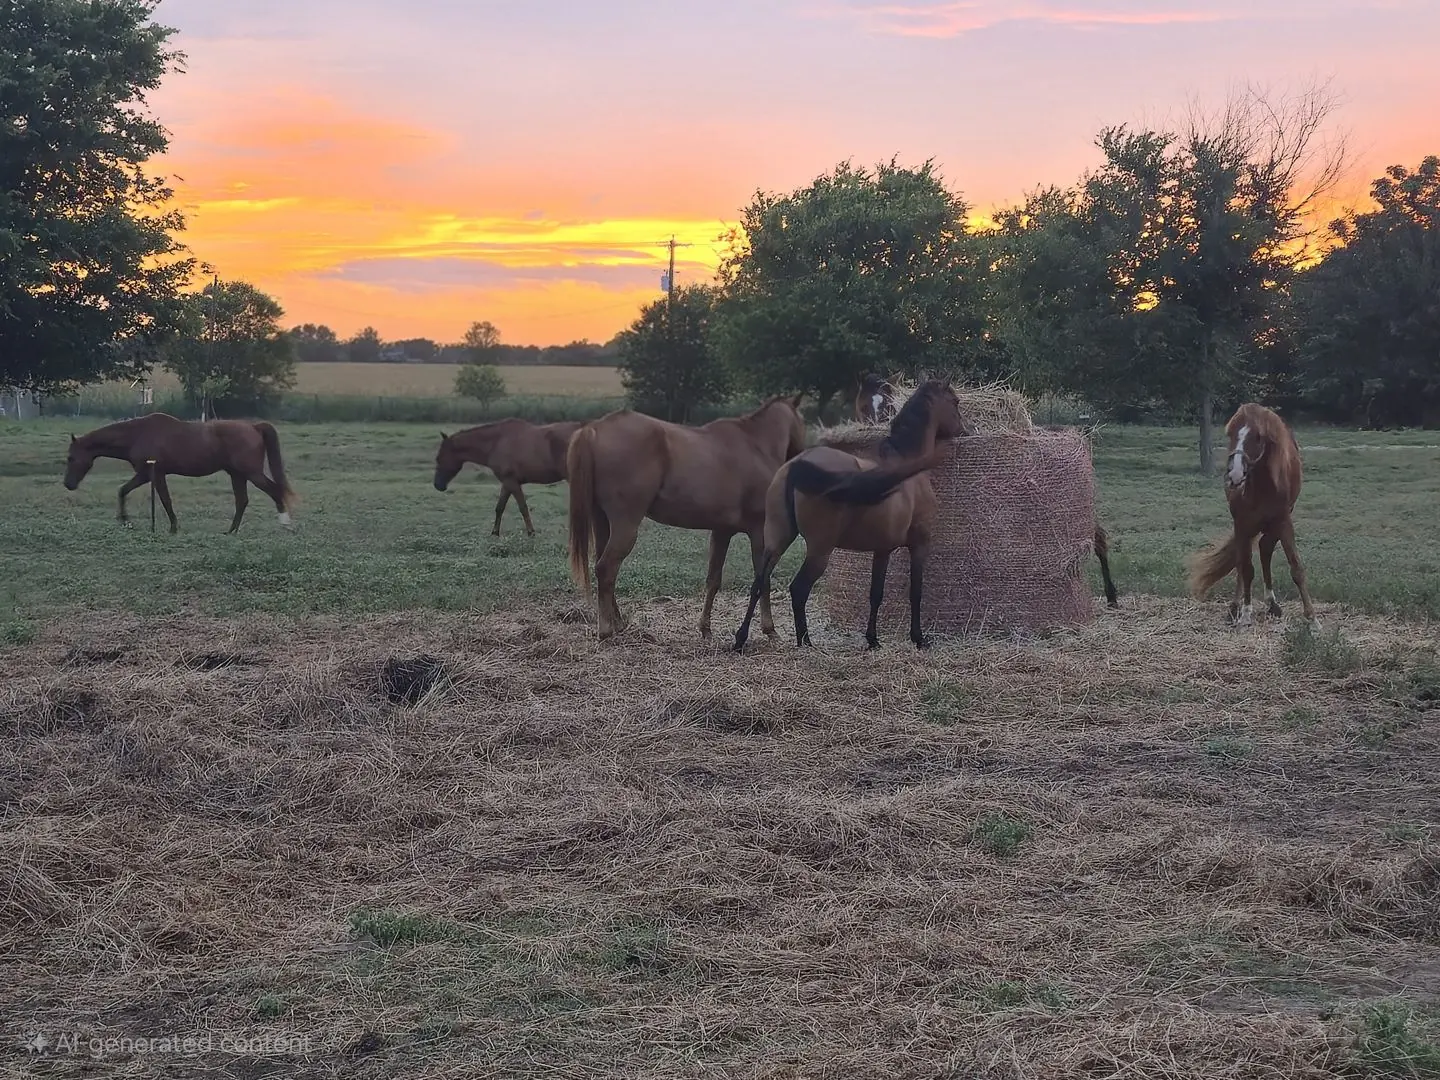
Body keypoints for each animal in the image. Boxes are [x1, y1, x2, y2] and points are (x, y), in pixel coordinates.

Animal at [62, 413, 294, 534]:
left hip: (251, 473)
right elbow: (123, 491)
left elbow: (165, 500)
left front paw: (173, 527)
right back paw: (231, 531)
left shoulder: (153, 474)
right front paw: (125, 520)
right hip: (237, 474)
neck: (137, 434)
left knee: (275, 491)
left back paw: (285, 523)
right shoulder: (148, 475)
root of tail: (254, 427)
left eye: (71, 458)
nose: (68, 484)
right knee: (242, 500)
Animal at [434, 419, 582, 537]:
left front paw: (531, 533)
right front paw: (495, 533)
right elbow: (500, 507)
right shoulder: (507, 483)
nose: (437, 485)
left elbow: (523, 507)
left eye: (439, 458)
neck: (496, 442)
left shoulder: (512, 482)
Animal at [567, 395, 807, 640]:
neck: (755, 445)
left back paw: (618, 622)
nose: (802, 453)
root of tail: (595, 429)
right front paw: (770, 629)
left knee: (604, 570)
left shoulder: (722, 531)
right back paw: (606, 629)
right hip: (625, 527)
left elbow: (713, 580)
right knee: (606, 569)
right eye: (803, 420)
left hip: (602, 521)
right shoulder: (759, 532)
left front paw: (705, 628)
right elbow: (763, 579)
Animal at [734, 379, 967, 653]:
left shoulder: (882, 549)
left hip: (777, 540)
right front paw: (918, 638)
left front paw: (873, 639)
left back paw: (740, 639)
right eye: (955, 402)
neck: (906, 465)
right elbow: (916, 592)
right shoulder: (919, 544)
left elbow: (875, 593)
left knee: (759, 583)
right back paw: (805, 641)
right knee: (799, 589)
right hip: (820, 550)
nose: (965, 430)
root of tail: (797, 466)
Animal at [1187, 402, 1317, 625]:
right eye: (1230, 433)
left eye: (1258, 436)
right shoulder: (1242, 522)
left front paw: (1312, 619)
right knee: (1243, 561)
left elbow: (1296, 567)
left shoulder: (1283, 520)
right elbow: (1246, 569)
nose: (1235, 474)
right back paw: (1235, 608)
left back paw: (1272, 604)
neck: (1264, 486)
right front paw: (1245, 614)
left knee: (1264, 549)